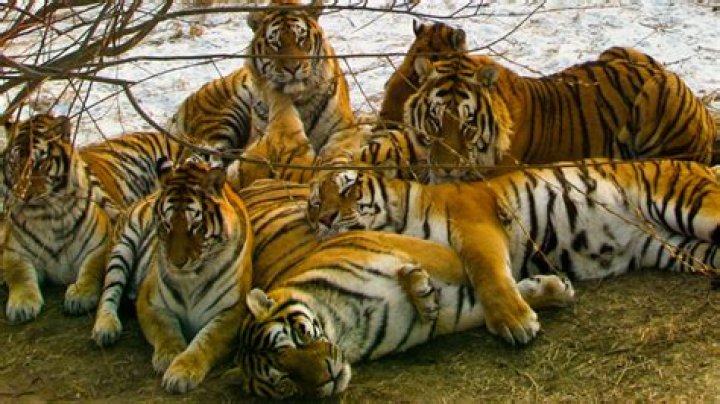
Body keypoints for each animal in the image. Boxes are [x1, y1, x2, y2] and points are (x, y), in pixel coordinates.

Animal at [1, 113, 179, 323]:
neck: (47, 217)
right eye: (14, 163)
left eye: (40, 162)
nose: (23, 195)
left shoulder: (101, 244)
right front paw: (22, 304)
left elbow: (92, 269)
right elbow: (19, 274)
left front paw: (80, 295)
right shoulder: (14, 252)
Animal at [91, 159, 253, 393]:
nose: (177, 263)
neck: (192, 280)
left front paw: (181, 371)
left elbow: (206, 340)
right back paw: (105, 327)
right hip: (122, 246)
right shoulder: (149, 301)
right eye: (167, 224)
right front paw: (170, 356)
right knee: (109, 291)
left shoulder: (234, 310)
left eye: (195, 225)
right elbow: (165, 328)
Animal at [228, 178, 575, 399]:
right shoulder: (448, 315)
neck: (344, 324)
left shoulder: (420, 249)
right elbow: (480, 306)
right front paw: (549, 291)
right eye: (286, 382)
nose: (327, 377)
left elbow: (481, 274)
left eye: (299, 334)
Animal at [306, 160, 720, 345]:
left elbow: (489, 276)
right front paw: (423, 298)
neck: (397, 222)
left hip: (692, 206)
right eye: (314, 202)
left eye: (346, 189)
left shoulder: (476, 227)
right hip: (681, 248)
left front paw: (515, 322)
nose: (324, 218)